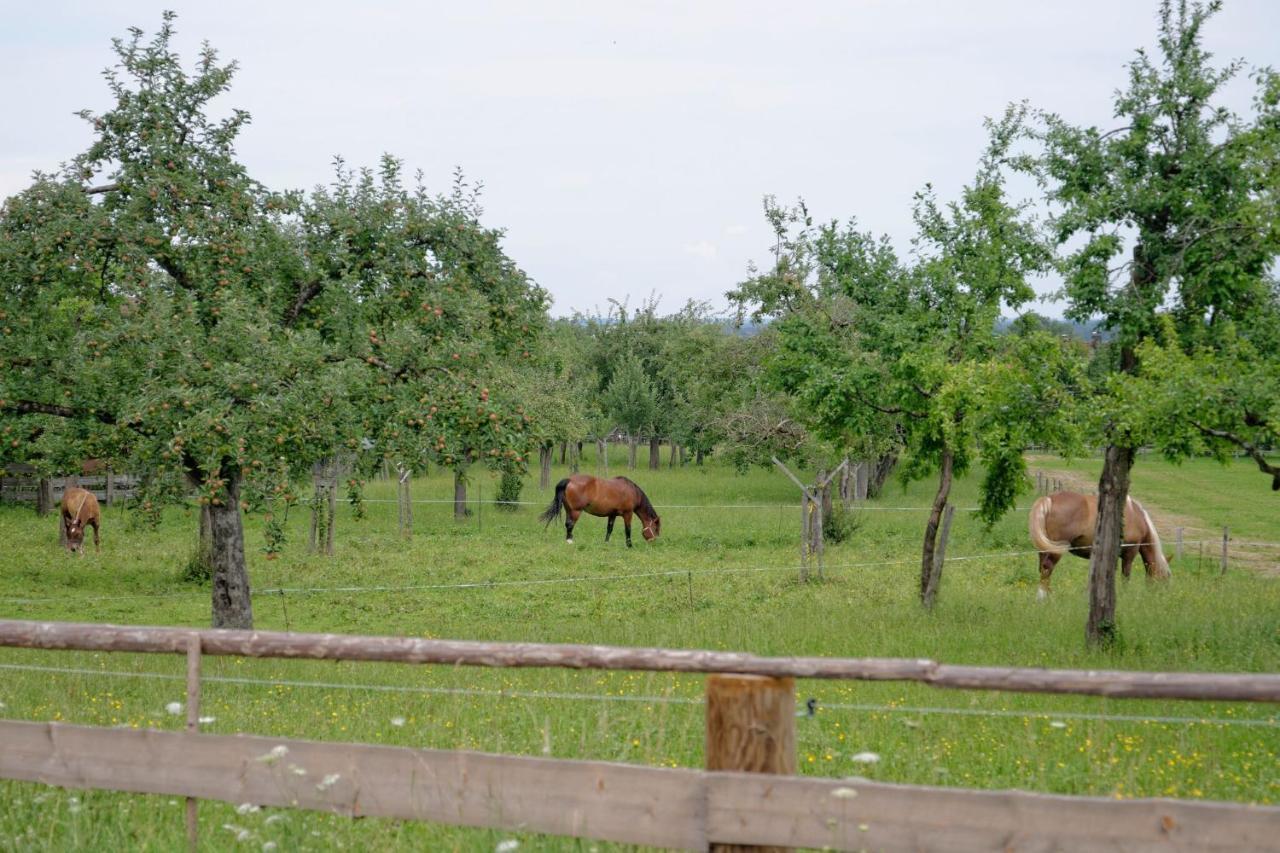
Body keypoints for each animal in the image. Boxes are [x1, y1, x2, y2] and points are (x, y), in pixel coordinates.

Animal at [1029, 489, 1172, 594]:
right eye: (1167, 576)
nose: (1162, 595)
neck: (1136, 516)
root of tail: (1049, 499)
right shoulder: (1130, 553)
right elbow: (1125, 576)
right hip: (1055, 550)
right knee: (1047, 568)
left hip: (1044, 549)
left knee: (1042, 569)